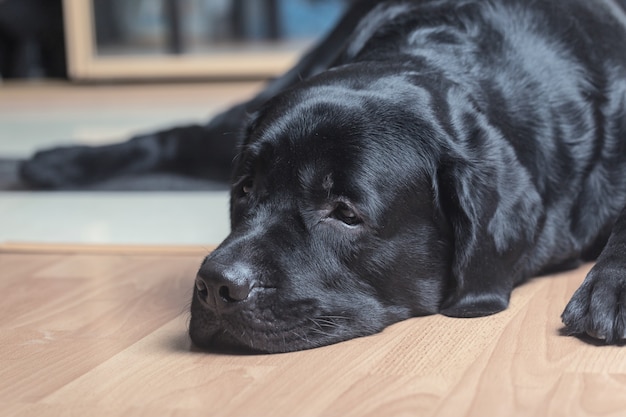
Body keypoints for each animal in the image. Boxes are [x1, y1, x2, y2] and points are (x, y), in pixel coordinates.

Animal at [19, 0, 624, 352]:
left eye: (346, 213)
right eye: (246, 190)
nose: (215, 286)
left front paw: (609, 291)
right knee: (176, 136)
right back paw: (41, 163)